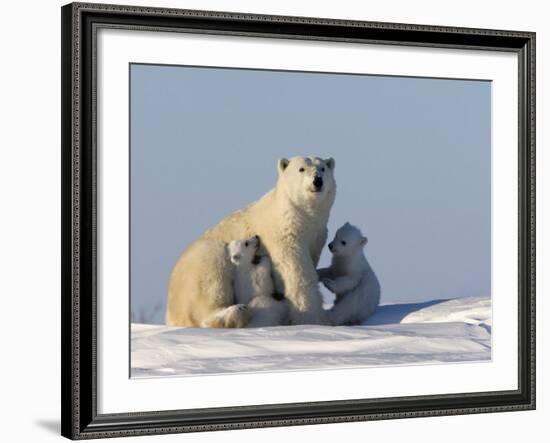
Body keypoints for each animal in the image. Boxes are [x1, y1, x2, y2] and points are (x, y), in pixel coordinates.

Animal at [166, 156, 336, 326]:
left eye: (323, 168)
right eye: (301, 169)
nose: (317, 180)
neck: (299, 216)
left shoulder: (316, 236)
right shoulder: (284, 235)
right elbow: (296, 271)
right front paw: (313, 318)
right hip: (200, 266)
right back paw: (236, 311)